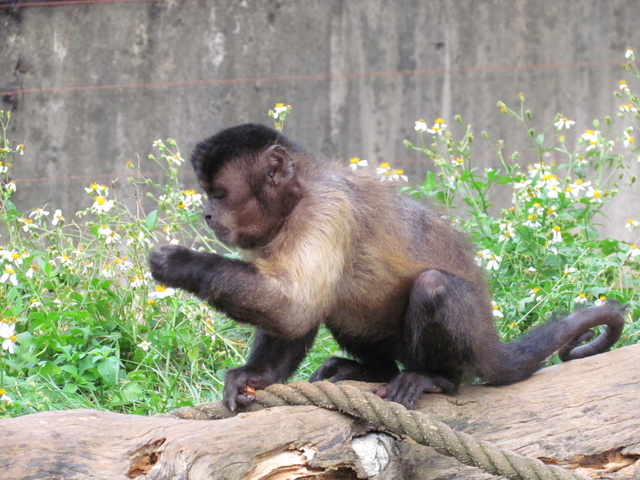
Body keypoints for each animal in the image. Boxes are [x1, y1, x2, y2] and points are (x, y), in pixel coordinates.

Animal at [150, 123, 624, 408]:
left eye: (219, 194)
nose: (207, 215)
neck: (300, 192)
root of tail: (490, 340)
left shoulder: (326, 209)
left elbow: (294, 306)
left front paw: (180, 263)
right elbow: (295, 310)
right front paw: (259, 376)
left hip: (468, 343)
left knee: (433, 287)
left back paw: (434, 378)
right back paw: (374, 369)